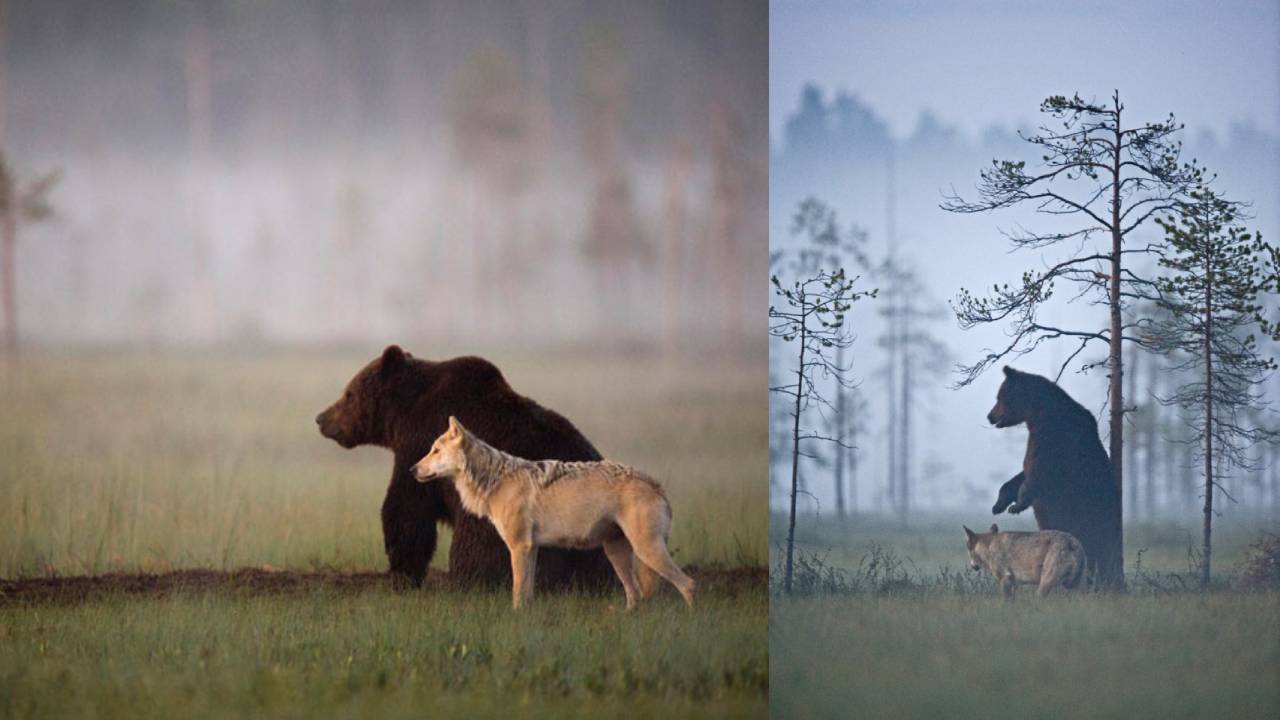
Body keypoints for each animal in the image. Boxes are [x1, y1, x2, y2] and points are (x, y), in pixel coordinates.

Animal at [315, 345, 613, 588]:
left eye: (349, 394)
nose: (321, 418)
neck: (403, 412)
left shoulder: (419, 444)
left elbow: (407, 508)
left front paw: (403, 573)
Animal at [411, 416, 696, 610]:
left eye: (435, 451)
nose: (412, 470)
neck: (495, 481)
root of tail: (655, 484)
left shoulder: (519, 547)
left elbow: (517, 591)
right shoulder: (531, 548)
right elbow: (526, 592)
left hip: (646, 551)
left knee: (688, 584)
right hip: (617, 553)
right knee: (635, 595)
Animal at [986, 366, 1123, 589]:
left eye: (1000, 396)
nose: (990, 416)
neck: (1038, 413)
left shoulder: (1054, 437)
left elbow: (1039, 472)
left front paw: (1017, 505)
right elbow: (1021, 474)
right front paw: (999, 503)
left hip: (1089, 518)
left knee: (1095, 547)